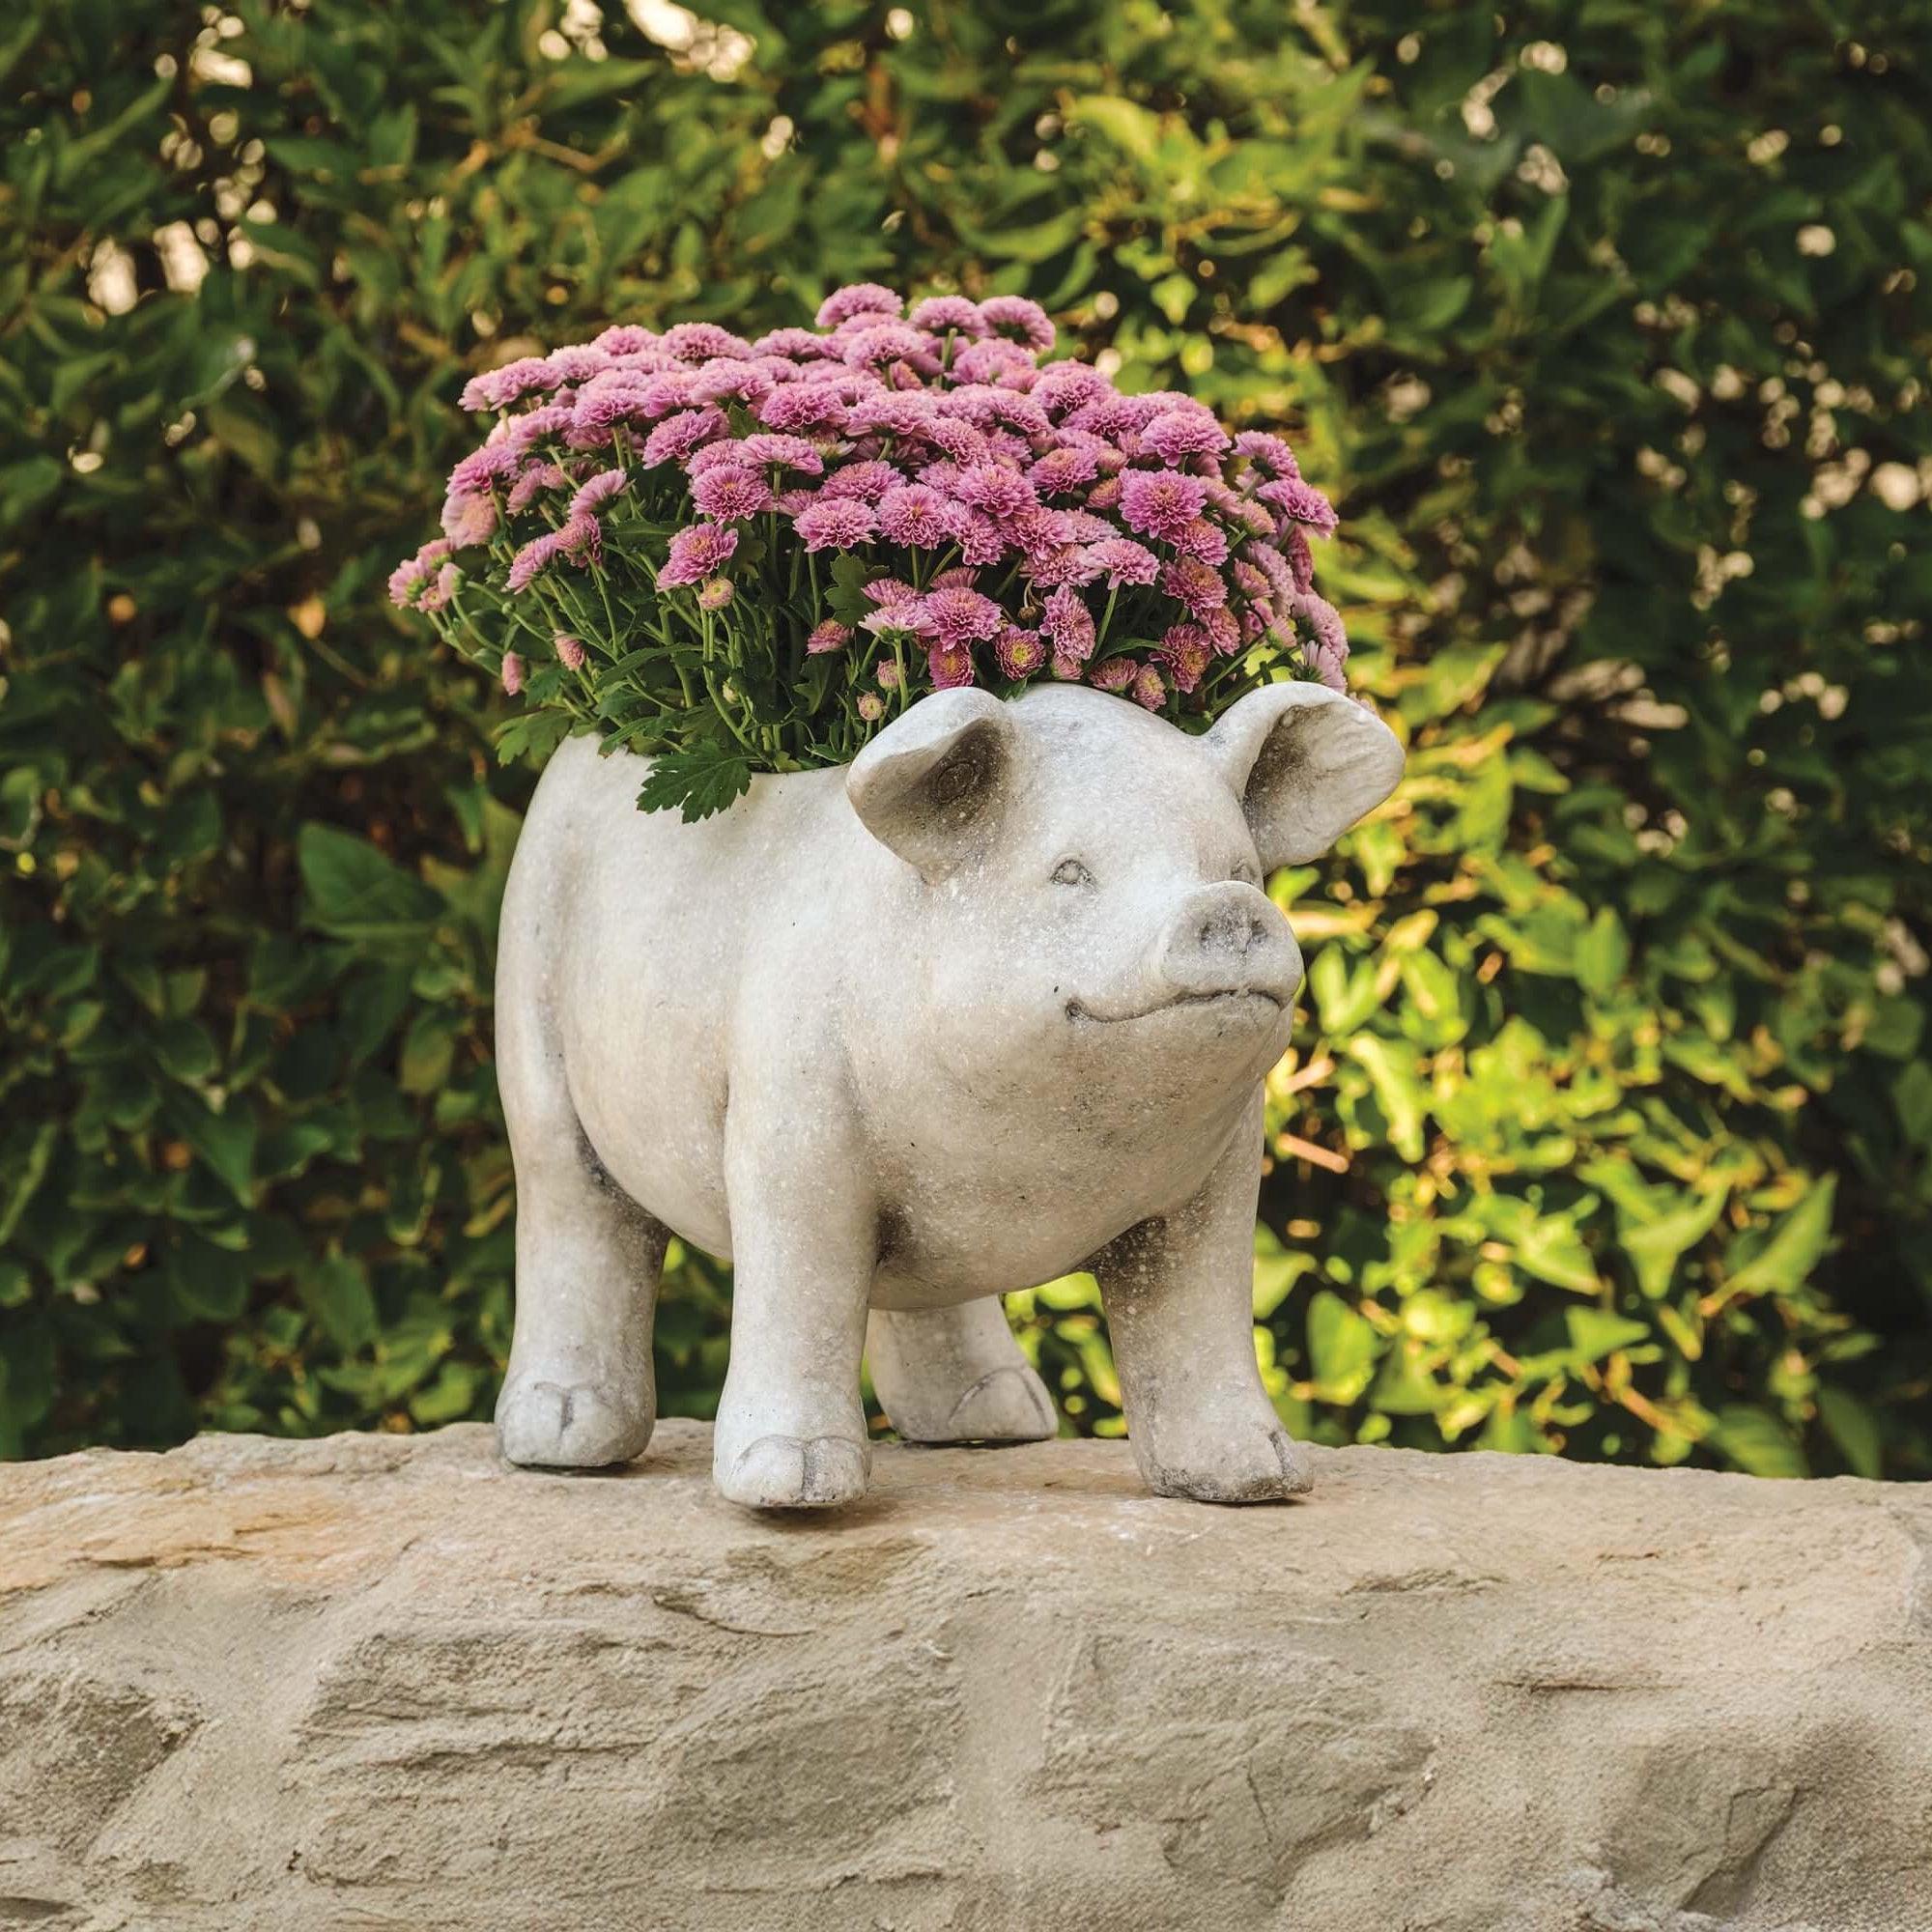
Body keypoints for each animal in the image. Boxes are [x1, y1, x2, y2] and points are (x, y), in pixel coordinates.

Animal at [493, 679, 1403, 1509]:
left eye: (1240, 868)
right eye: (1069, 872)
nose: (1227, 906)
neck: (1036, 1157)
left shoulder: (1219, 1181)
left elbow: (1199, 1316)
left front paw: (1259, 1480)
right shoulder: (788, 1123)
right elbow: (801, 1285)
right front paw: (790, 1487)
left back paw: (998, 1424)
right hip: (530, 1004)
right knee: (577, 1212)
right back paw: (562, 1439)